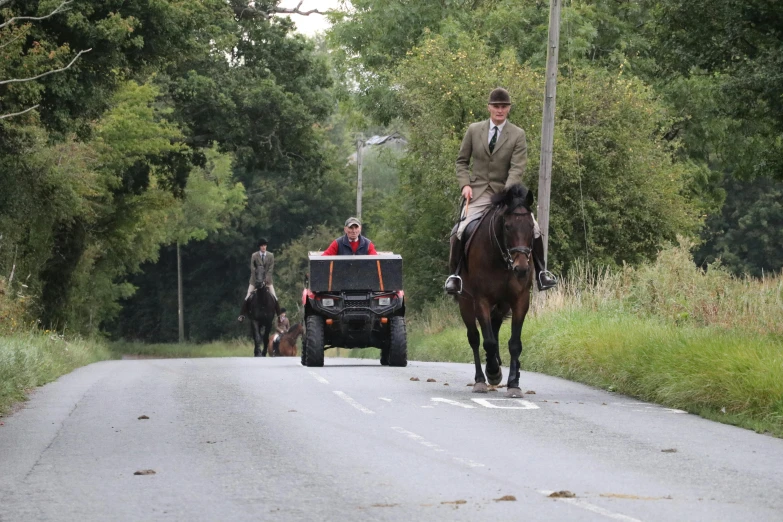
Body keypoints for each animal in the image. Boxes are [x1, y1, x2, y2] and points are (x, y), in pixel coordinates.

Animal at [456, 182, 536, 394]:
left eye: (531, 226)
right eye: (507, 226)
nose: (521, 268)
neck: (502, 260)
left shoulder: (520, 300)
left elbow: (514, 343)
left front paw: (514, 383)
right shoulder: (481, 299)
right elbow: (488, 341)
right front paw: (493, 373)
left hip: (502, 304)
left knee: (495, 325)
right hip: (465, 302)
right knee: (475, 338)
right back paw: (481, 379)